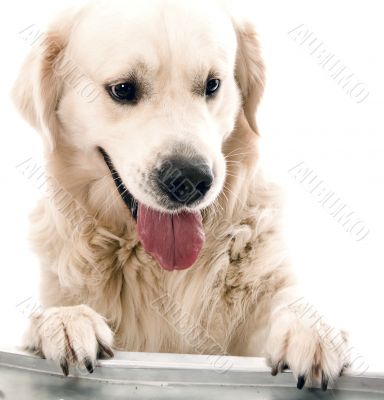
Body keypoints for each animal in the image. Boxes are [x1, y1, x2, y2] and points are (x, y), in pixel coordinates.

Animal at [12, 0, 348, 390]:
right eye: (123, 89)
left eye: (212, 84)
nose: (189, 180)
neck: (157, 267)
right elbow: (50, 311)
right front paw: (65, 319)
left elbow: (290, 300)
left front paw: (312, 330)